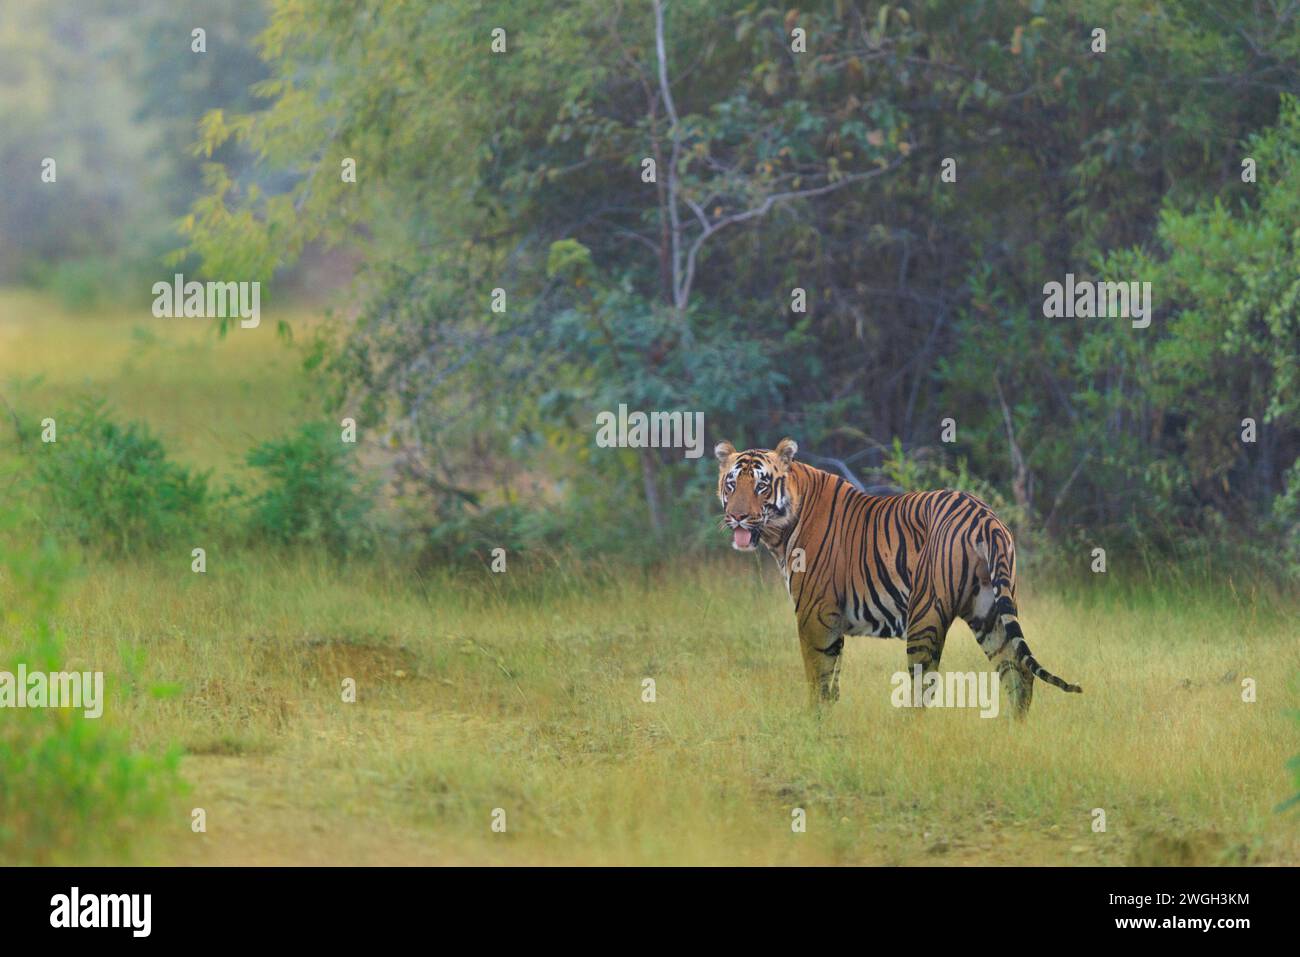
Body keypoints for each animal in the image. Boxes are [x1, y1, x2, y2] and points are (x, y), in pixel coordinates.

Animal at [715, 437, 1081, 717]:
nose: (737, 517)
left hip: (925, 613)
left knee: (924, 686)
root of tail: (984, 516)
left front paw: (813, 724)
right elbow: (832, 680)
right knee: (1018, 671)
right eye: (732, 484)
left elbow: (817, 678)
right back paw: (1012, 731)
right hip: (989, 610)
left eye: (761, 485)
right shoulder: (831, 622)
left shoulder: (814, 614)